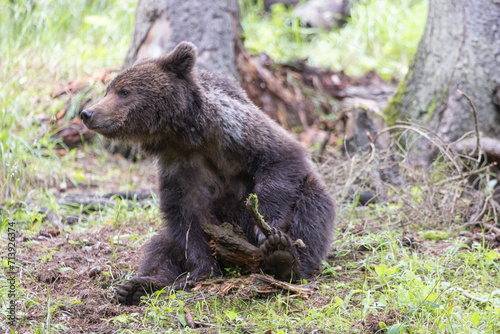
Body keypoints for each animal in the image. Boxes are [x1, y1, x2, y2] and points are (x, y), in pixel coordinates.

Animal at [80, 41, 334, 306]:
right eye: (108, 90)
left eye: (124, 91)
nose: (88, 113)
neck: (186, 135)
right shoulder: (179, 167)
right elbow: (187, 218)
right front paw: (201, 271)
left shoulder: (235, 130)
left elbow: (280, 159)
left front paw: (269, 232)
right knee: (161, 246)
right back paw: (138, 286)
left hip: (306, 201)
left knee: (312, 207)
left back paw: (286, 260)